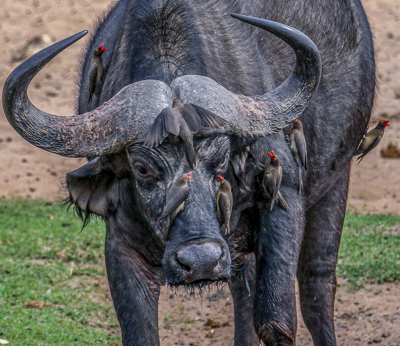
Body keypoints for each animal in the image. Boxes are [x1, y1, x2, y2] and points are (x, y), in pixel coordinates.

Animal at [1, 0, 376, 344]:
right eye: (142, 169)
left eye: (221, 159)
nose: (200, 261)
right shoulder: (121, 238)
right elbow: (139, 331)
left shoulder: (282, 197)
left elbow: (276, 321)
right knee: (244, 285)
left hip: (336, 178)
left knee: (317, 282)